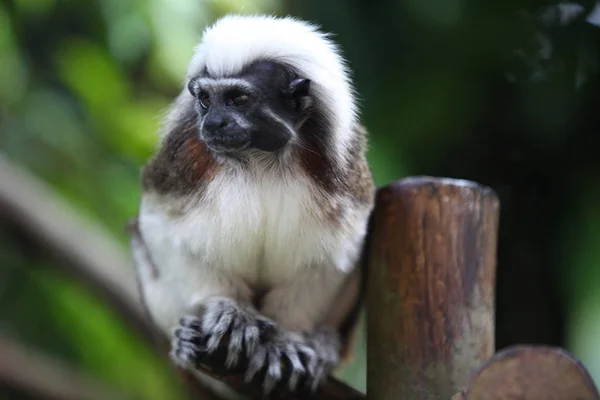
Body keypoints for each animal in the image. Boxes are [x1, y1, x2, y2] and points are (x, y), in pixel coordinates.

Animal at [129, 13, 376, 396]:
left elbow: (336, 254)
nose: (213, 122)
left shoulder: (342, 177)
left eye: (238, 99)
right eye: (205, 99)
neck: (260, 158)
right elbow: (162, 228)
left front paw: (286, 339)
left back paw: (323, 344)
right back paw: (184, 341)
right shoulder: (181, 163)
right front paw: (231, 314)